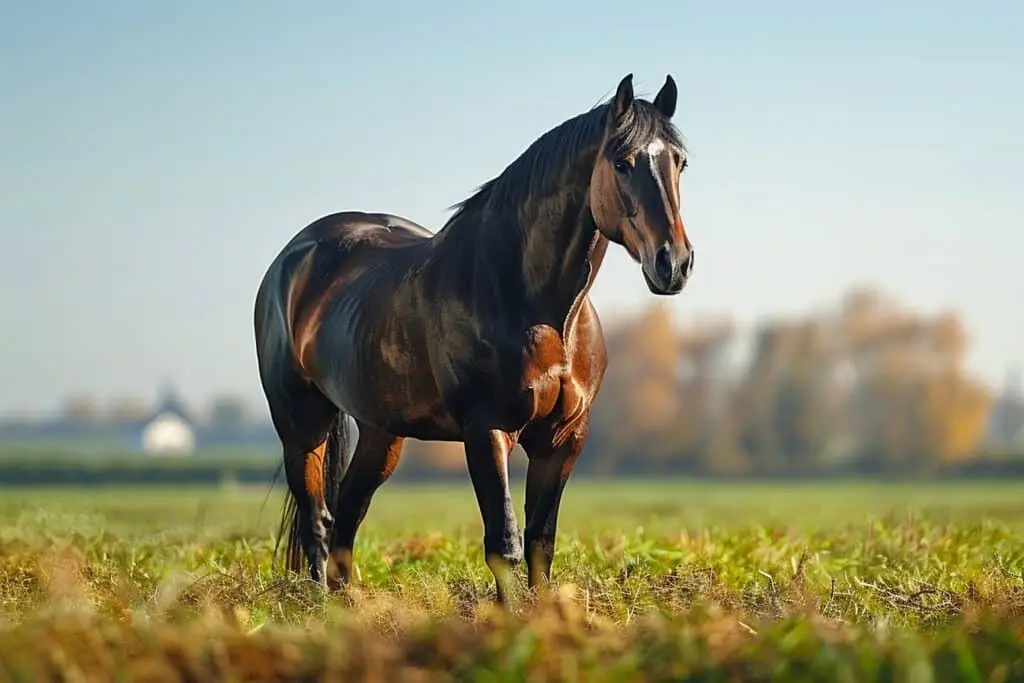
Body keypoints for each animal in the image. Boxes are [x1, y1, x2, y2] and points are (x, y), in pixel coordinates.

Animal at [253, 72, 694, 605]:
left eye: (680, 162)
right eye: (622, 162)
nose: (674, 263)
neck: (543, 311)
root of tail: (295, 256)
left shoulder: (564, 439)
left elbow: (541, 543)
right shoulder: (487, 431)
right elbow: (503, 544)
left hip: (382, 431)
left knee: (349, 513)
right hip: (301, 422)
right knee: (317, 518)